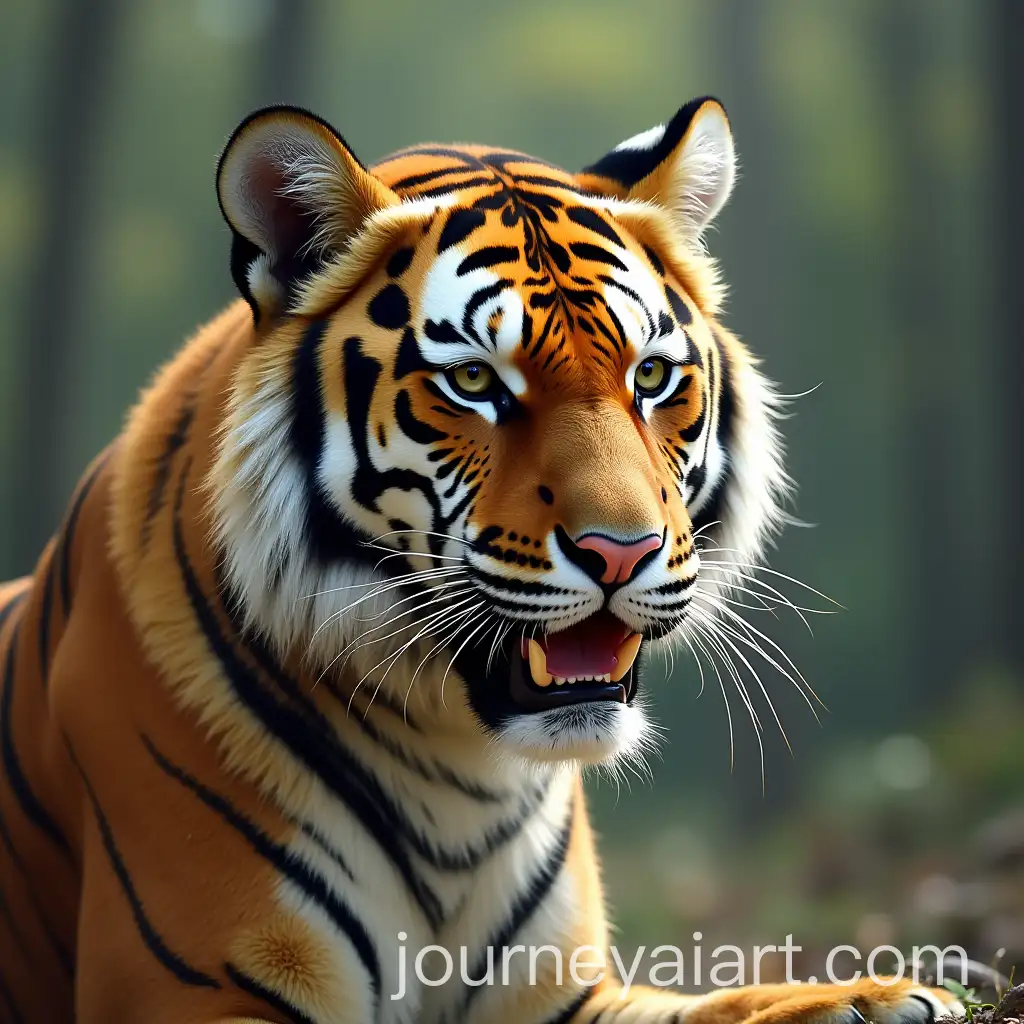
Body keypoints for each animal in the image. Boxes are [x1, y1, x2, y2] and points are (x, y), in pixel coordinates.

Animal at [0, 97, 963, 1023]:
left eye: (651, 377)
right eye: (473, 383)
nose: (623, 551)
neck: (457, 764)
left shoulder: (565, 995)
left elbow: (728, 1002)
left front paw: (876, 995)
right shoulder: (190, 990)